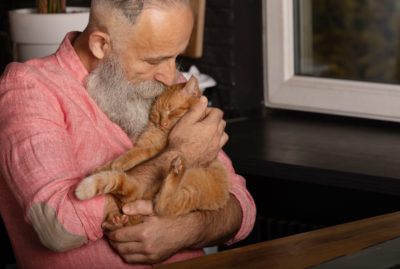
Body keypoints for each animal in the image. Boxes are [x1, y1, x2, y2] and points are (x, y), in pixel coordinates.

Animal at [75, 76, 231, 229]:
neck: (158, 132)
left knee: (163, 206)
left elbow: (139, 153)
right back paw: (115, 221)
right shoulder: (144, 142)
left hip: (194, 188)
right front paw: (103, 167)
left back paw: (177, 170)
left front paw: (121, 162)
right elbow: (125, 155)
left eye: (172, 110)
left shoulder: (158, 147)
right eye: (157, 114)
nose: (163, 124)